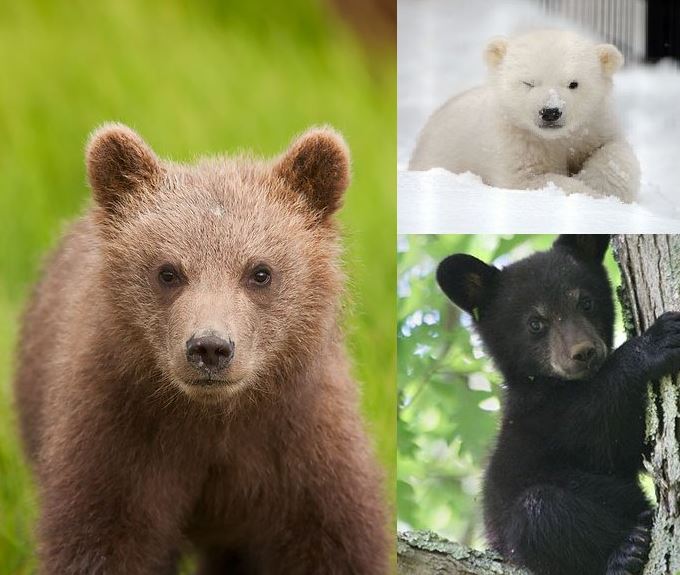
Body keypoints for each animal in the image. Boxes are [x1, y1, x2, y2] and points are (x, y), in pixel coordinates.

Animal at [13, 123, 390, 574]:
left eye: (260, 272)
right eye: (168, 272)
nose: (210, 347)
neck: (213, 420)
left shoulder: (303, 450)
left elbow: (331, 544)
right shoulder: (118, 439)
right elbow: (103, 541)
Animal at [410, 30, 640, 202]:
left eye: (573, 83)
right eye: (529, 82)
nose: (550, 112)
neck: (553, 139)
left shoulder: (594, 124)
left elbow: (614, 151)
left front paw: (597, 184)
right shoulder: (514, 140)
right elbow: (526, 180)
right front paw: (589, 193)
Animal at [436, 235, 680, 575]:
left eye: (586, 302)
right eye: (535, 323)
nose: (584, 352)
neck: (551, 385)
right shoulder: (539, 418)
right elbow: (591, 422)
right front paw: (653, 342)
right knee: (539, 512)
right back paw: (626, 551)